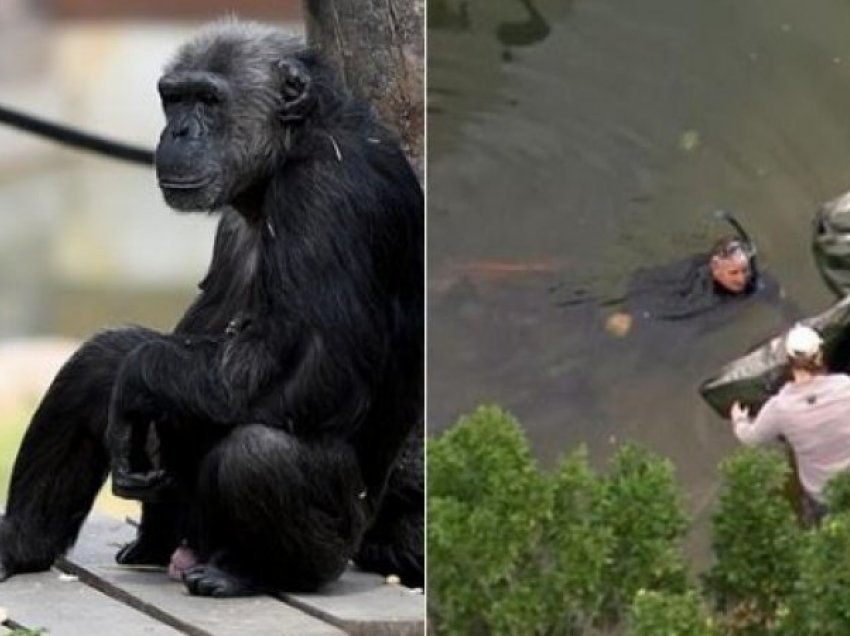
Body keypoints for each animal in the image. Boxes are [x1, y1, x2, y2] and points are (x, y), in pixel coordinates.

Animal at [0, 19, 424, 596]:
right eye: (173, 99)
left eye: (208, 99)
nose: (178, 132)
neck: (283, 157)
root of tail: (189, 551)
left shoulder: (327, 197)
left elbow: (313, 370)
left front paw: (135, 382)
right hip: (179, 521)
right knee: (99, 361)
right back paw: (24, 544)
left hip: (335, 548)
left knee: (259, 454)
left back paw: (246, 572)